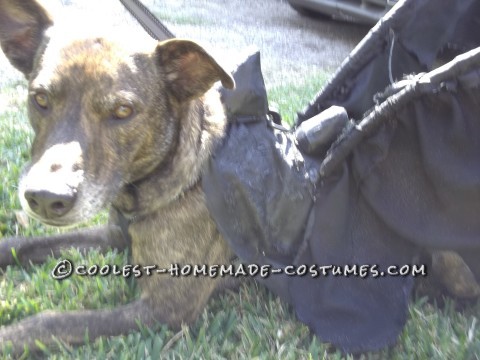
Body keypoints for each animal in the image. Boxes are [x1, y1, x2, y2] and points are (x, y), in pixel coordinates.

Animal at [0, 0, 237, 354]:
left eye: (123, 111)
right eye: (40, 99)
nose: (45, 198)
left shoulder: (168, 308)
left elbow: (51, 322)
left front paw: (10, 337)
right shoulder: (112, 236)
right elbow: (25, 243)